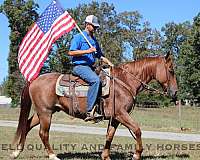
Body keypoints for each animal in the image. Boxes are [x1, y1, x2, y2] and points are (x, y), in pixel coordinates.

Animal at [10, 52, 178, 160]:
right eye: (171, 70)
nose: (175, 92)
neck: (125, 81)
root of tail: (34, 80)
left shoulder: (115, 118)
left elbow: (109, 135)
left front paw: (105, 156)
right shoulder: (121, 114)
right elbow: (137, 130)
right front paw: (137, 154)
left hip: (45, 111)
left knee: (27, 125)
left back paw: (16, 153)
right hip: (45, 113)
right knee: (43, 133)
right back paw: (52, 156)